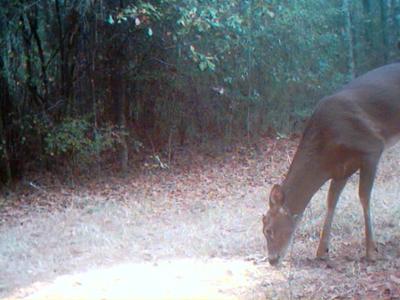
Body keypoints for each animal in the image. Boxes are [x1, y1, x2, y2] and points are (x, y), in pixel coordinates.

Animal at [260, 62, 400, 264]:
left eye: (268, 230)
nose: (272, 260)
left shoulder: (372, 147)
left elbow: (364, 197)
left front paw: (371, 251)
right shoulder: (340, 169)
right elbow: (331, 201)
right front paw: (321, 251)